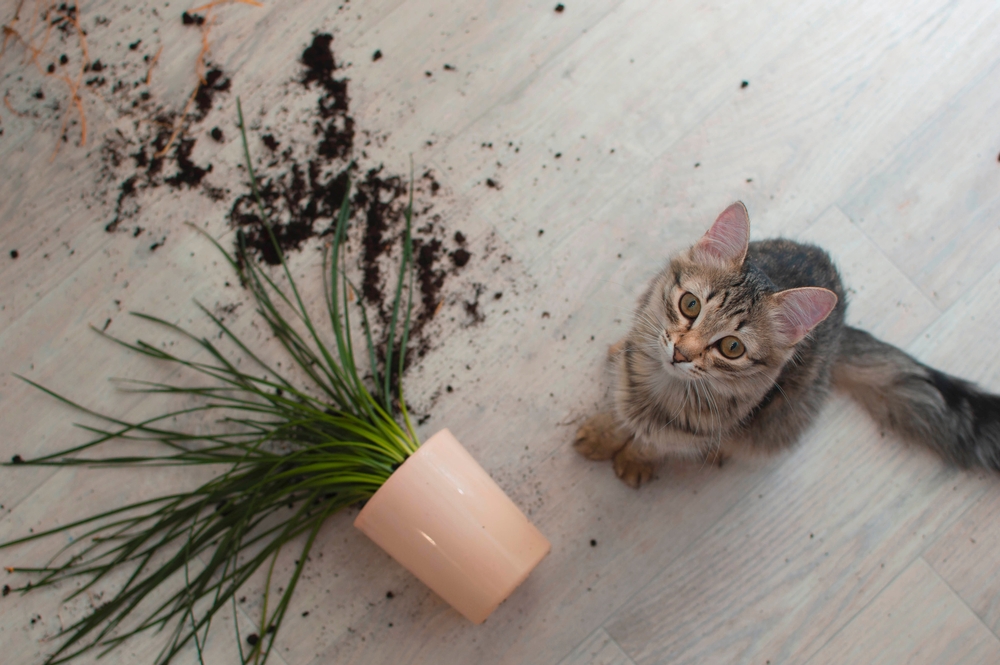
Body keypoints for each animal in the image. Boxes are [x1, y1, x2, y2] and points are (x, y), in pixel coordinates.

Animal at [576, 200, 1000, 486]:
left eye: (732, 348)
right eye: (690, 305)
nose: (681, 353)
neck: (661, 388)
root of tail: (840, 321)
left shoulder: (692, 431)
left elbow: (654, 441)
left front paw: (635, 456)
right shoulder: (631, 375)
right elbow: (619, 411)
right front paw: (604, 434)